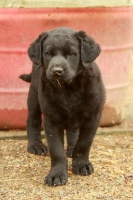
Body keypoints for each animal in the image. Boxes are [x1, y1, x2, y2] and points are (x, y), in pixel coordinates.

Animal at [19, 26, 105, 186]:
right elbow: (57, 150)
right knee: (32, 120)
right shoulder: (51, 119)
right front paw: (57, 174)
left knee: (73, 131)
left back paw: (71, 148)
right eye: (47, 53)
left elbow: (84, 143)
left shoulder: (93, 116)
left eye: (72, 53)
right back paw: (35, 145)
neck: (69, 88)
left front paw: (81, 165)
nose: (57, 71)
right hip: (34, 94)